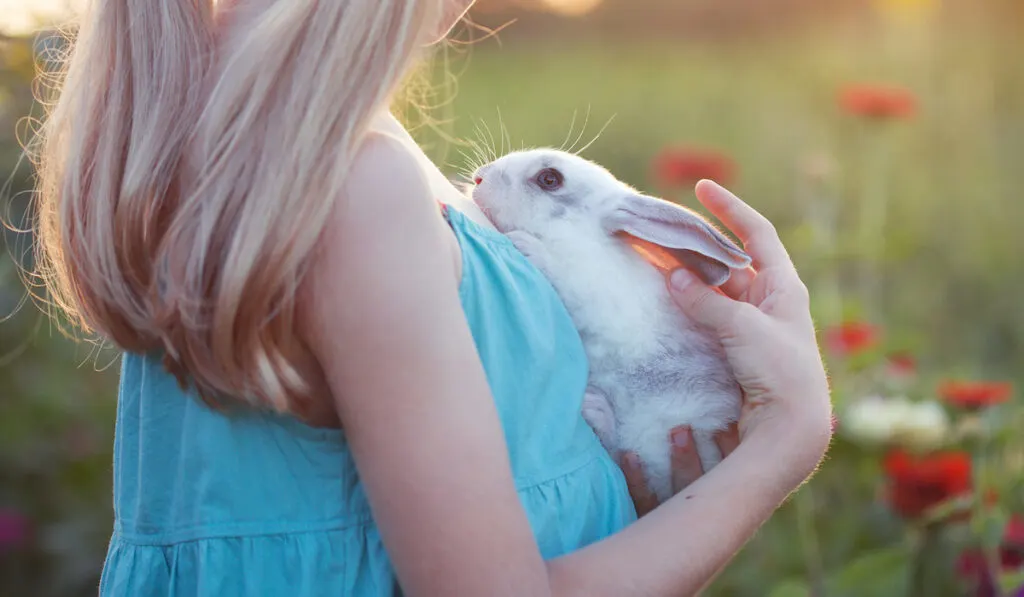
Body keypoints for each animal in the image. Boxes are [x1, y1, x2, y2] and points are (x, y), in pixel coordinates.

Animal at [471, 149, 753, 503]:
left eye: (549, 179)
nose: (479, 178)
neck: (578, 236)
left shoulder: (594, 293)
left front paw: (526, 244)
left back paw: (594, 408)